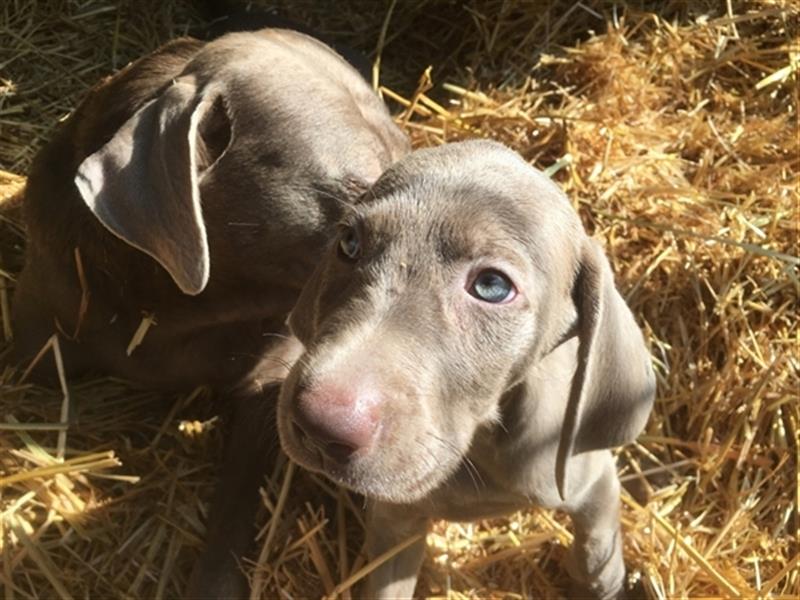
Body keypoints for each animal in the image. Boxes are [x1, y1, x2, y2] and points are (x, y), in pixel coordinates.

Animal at [278, 142, 652, 600]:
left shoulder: (593, 480)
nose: (318, 424)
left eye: (492, 286)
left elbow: (597, 554)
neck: (478, 447)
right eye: (349, 243)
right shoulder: (394, 526)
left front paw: (603, 581)